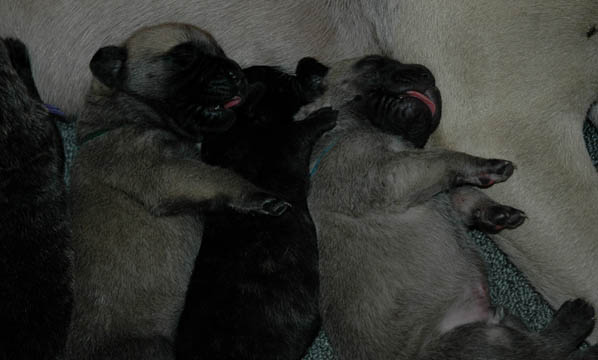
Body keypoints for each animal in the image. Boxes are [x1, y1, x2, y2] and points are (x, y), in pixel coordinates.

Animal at [66, 23, 290, 360]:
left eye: (221, 53)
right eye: (184, 57)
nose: (237, 73)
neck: (125, 113)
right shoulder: (166, 171)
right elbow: (218, 176)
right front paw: (258, 196)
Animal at [176, 57, 340, 358]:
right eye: (281, 82)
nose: (302, 64)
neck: (240, 122)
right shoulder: (288, 142)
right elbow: (301, 129)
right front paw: (324, 115)